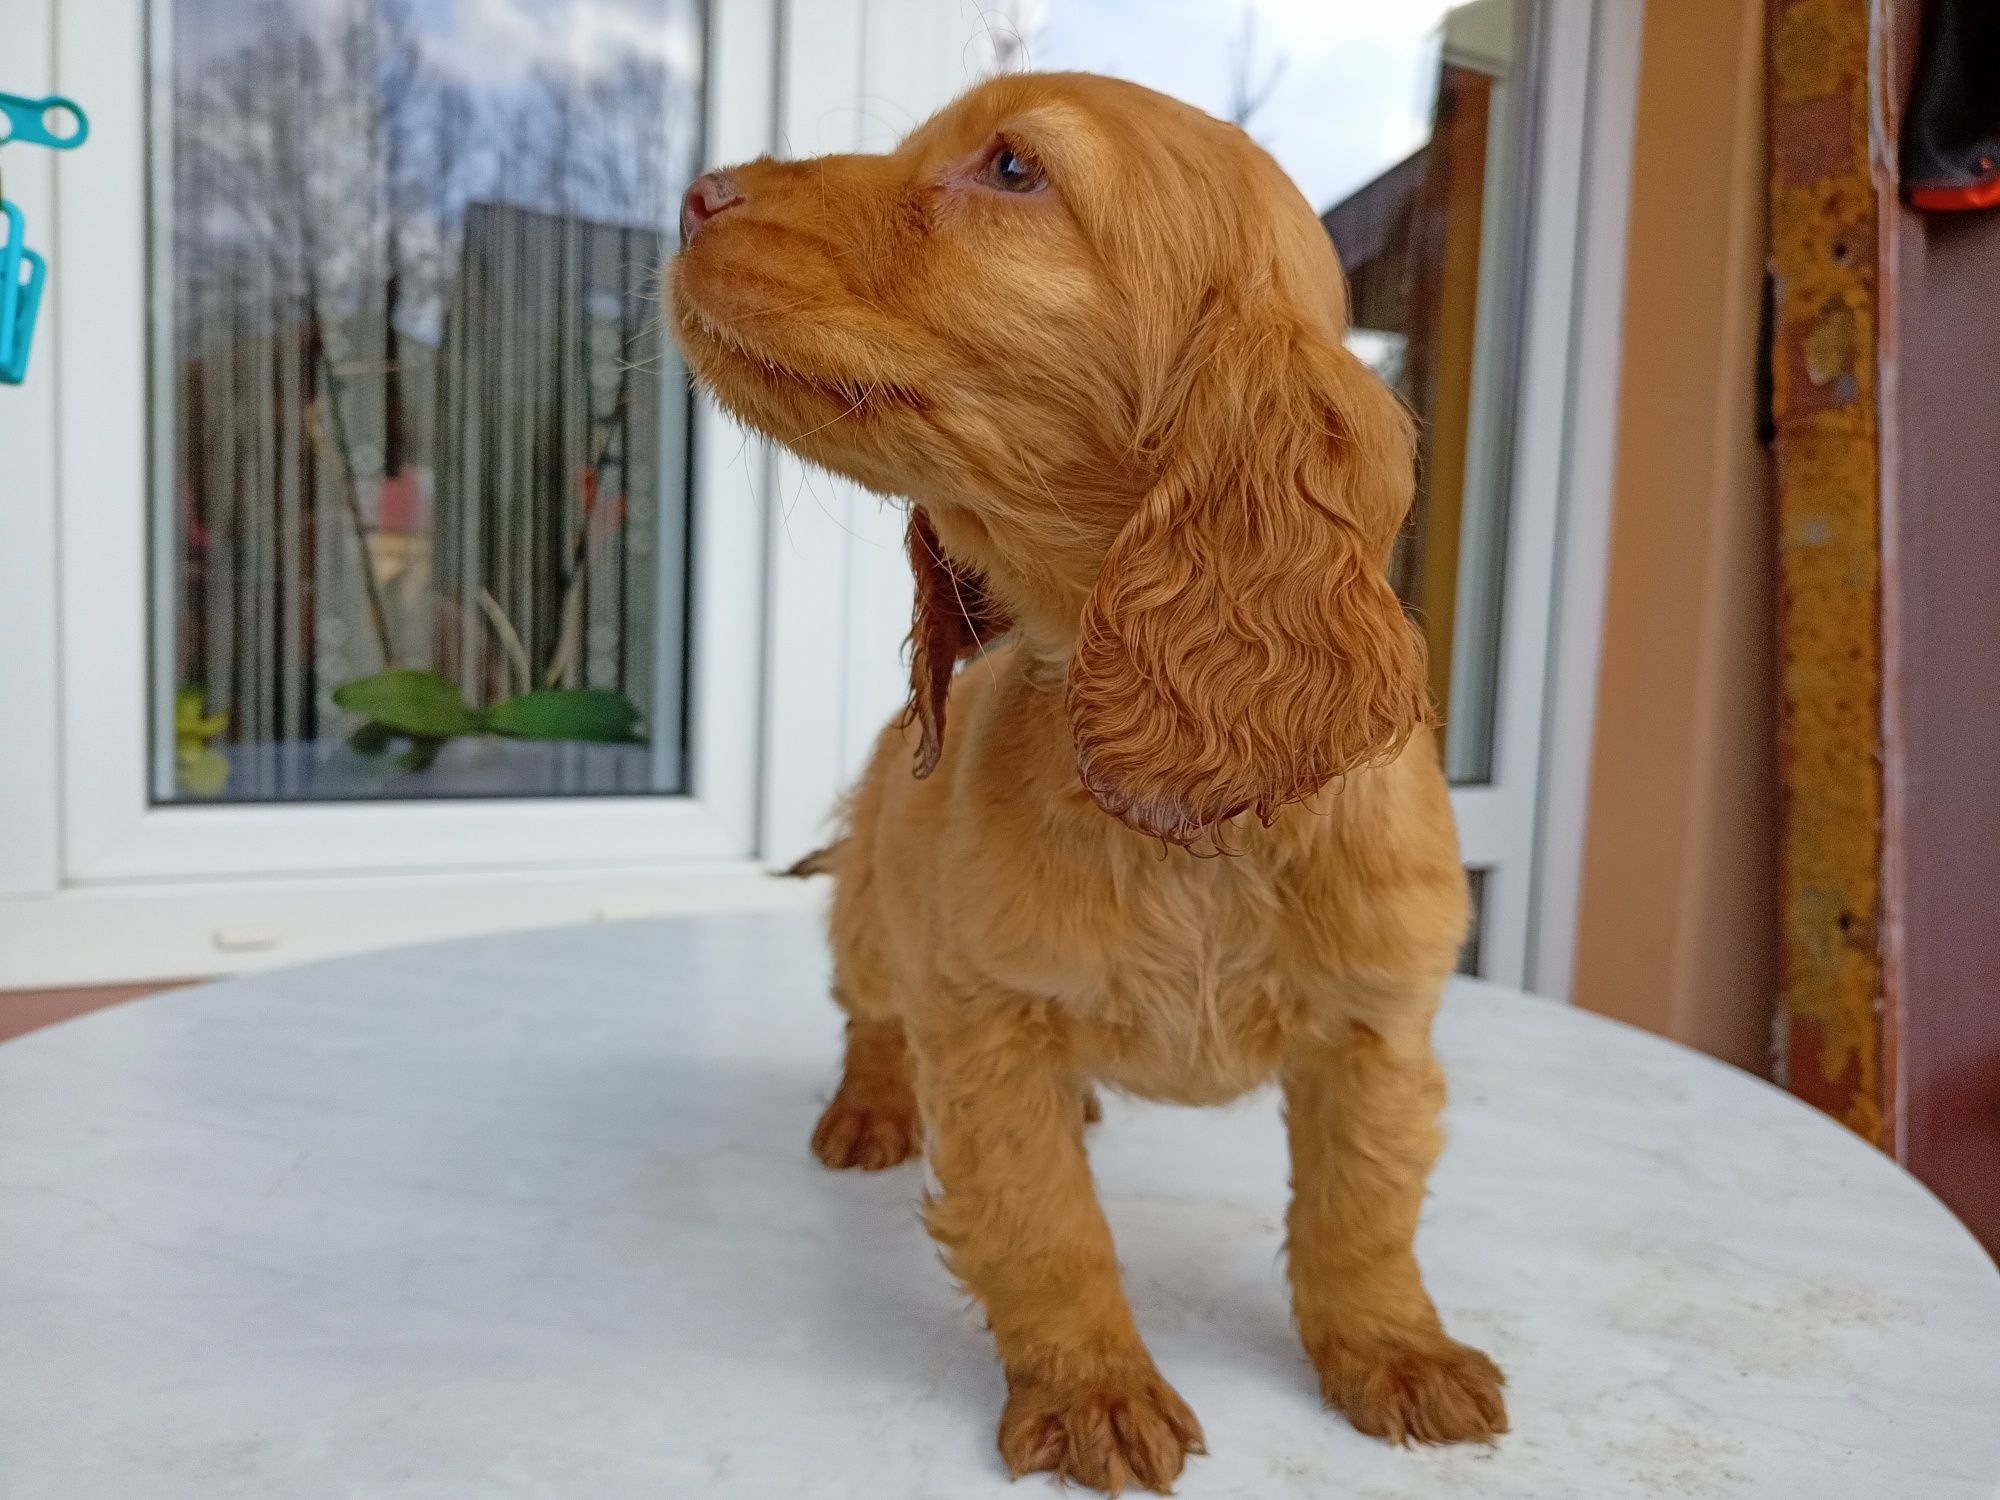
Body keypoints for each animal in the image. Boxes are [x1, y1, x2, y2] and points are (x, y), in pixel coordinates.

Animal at [672, 67, 1504, 1496]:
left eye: (1013, 170)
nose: (691, 194)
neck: (1182, 818)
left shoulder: (1378, 1030)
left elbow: (1361, 1211)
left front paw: (1393, 1351)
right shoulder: (985, 1020)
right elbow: (1045, 1221)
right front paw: (1093, 1390)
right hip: (882, 922)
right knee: (869, 1014)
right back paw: (869, 1108)